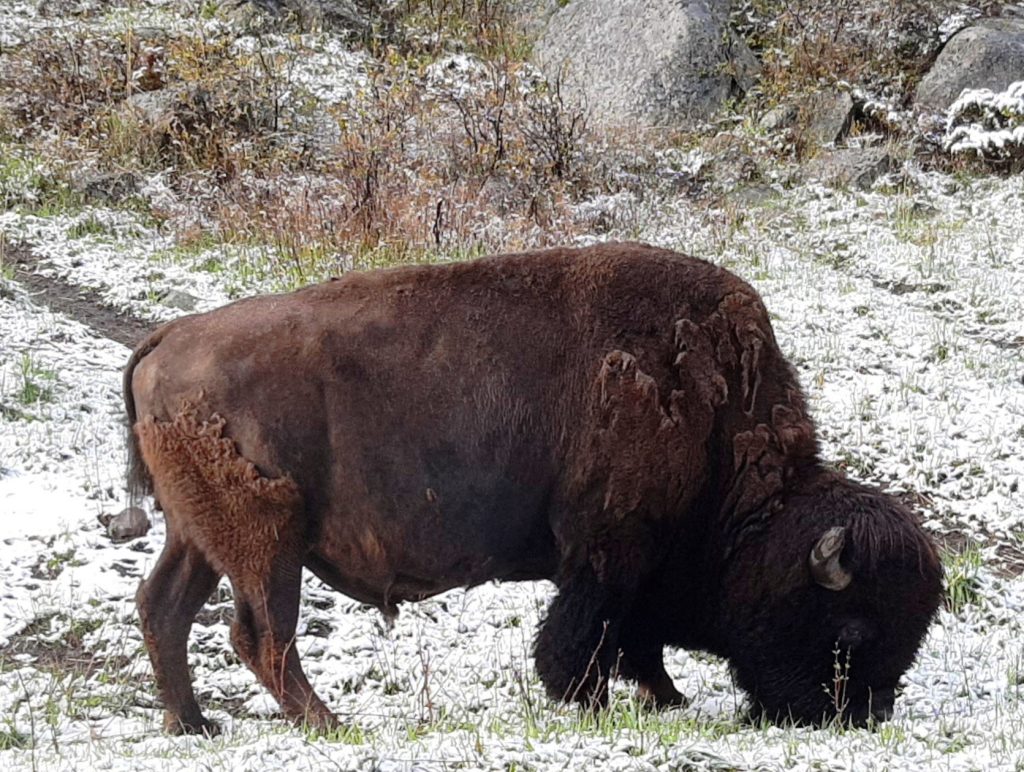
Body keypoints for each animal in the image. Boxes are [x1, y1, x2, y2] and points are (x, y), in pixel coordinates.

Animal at [123, 241, 937, 733]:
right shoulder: (610, 548)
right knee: (261, 635)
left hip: (198, 537)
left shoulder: (631, 560)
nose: (865, 714)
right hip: (267, 542)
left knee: (165, 608)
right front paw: (593, 701)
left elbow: (633, 638)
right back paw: (326, 723)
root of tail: (171, 337)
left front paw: (665, 698)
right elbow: (592, 633)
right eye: (853, 629)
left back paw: (193, 723)